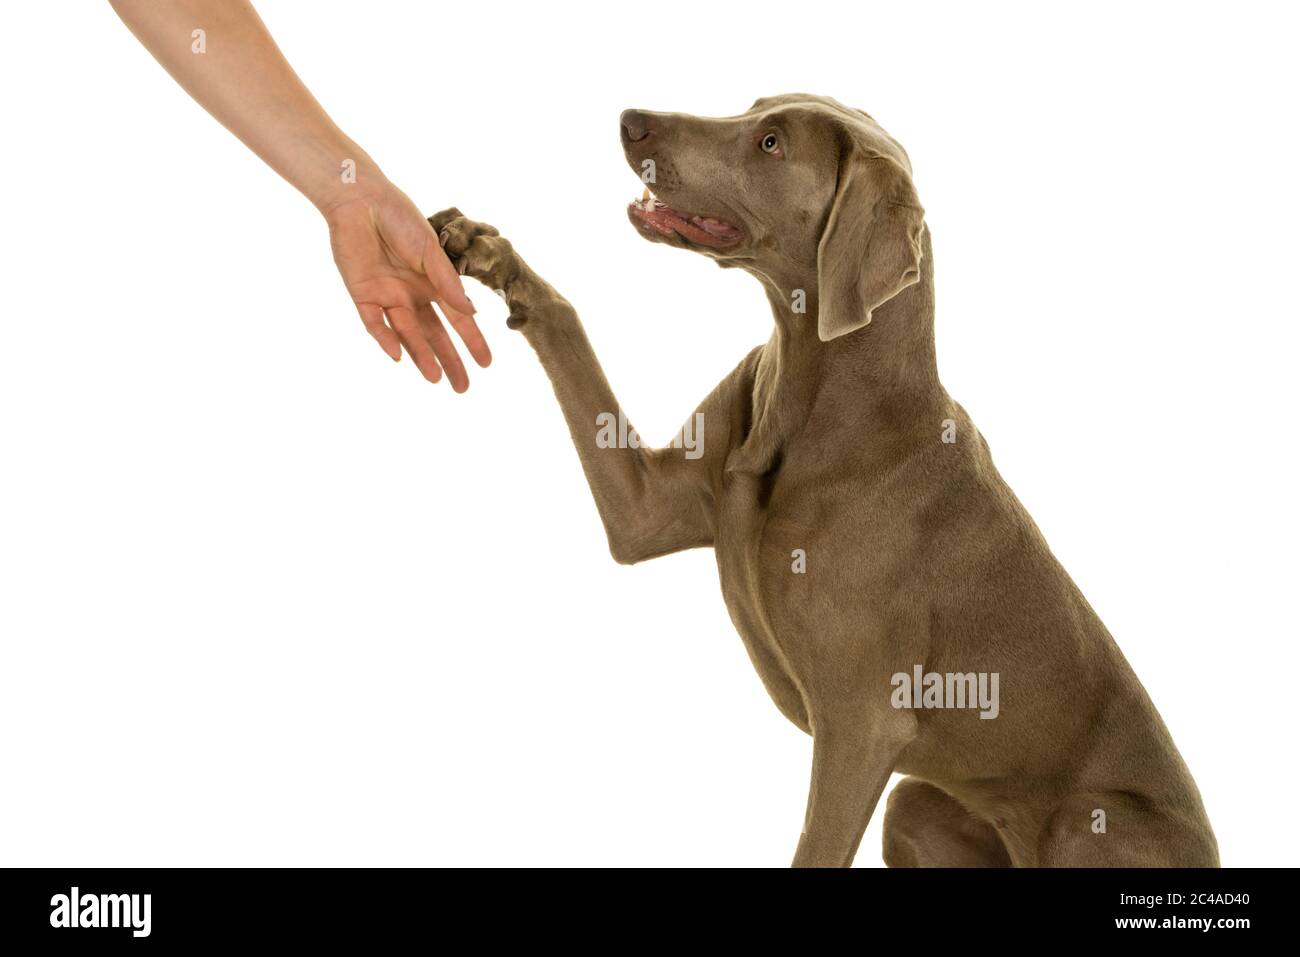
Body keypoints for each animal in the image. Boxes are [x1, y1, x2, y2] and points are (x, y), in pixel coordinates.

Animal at [428, 95, 1216, 868]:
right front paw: (481, 248)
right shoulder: (645, 511)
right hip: (918, 803)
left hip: (1086, 819)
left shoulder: (861, 725)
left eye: (772, 143)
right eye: (753, 109)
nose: (630, 120)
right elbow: (567, 328)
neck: (813, 398)